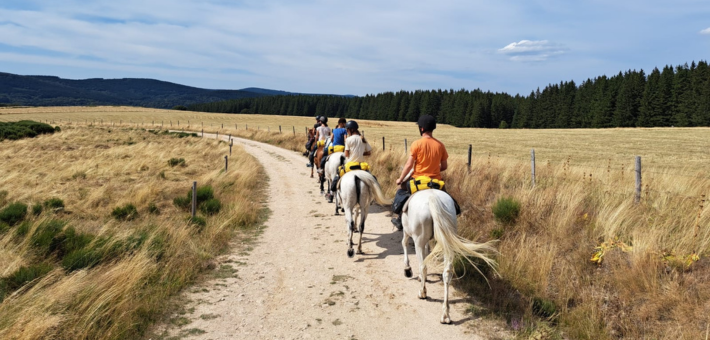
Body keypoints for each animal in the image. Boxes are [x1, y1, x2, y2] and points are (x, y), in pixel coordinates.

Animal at [404, 189, 498, 324]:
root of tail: (432, 198)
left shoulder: (407, 231)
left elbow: (405, 244)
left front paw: (407, 270)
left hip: (419, 240)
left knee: (423, 266)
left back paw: (422, 293)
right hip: (447, 241)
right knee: (447, 274)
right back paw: (445, 315)